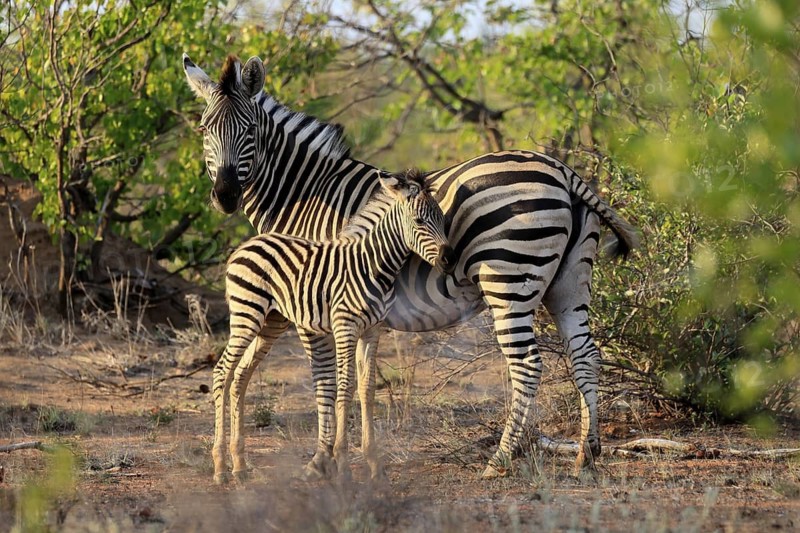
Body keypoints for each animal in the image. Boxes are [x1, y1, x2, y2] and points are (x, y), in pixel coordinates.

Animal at [217, 168, 452, 482]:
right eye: (419, 221)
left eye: (442, 218)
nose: (449, 259)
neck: (375, 266)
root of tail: (245, 246)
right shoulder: (345, 327)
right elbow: (344, 385)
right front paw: (342, 465)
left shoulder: (373, 330)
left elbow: (367, 388)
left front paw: (374, 465)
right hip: (246, 314)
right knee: (222, 372)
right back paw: (220, 467)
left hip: (270, 321)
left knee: (240, 376)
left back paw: (240, 464)